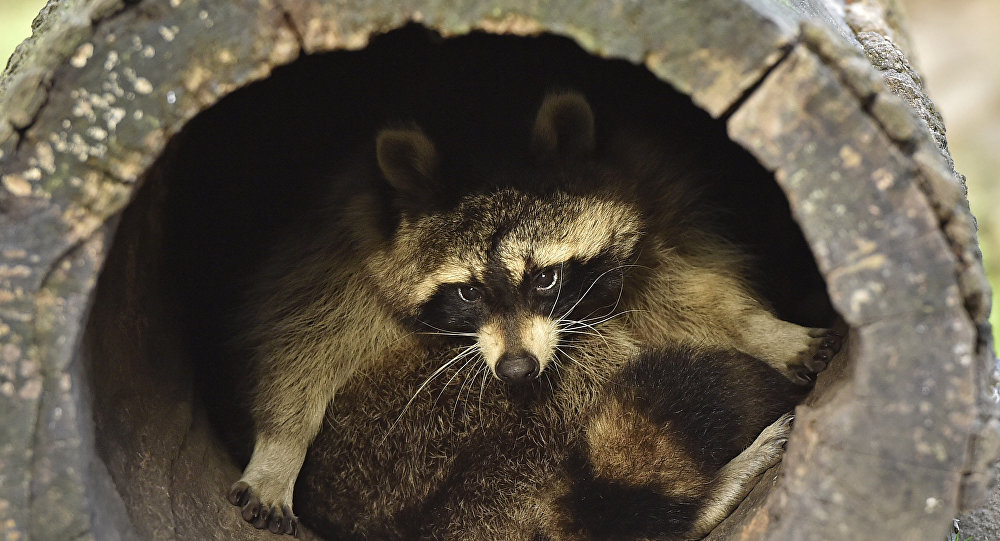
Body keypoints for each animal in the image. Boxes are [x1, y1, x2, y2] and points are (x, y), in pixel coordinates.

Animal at [229, 90, 844, 532]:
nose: (517, 369)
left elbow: (689, 295)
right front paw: (279, 448)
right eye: (468, 293)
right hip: (390, 446)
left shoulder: (647, 208)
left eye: (545, 278)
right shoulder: (339, 243)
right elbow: (302, 334)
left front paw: (766, 331)